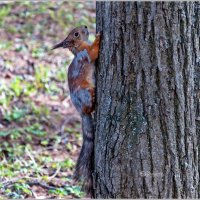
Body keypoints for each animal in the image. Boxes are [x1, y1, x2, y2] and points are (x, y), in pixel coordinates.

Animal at [52, 25, 101, 195]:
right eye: (76, 34)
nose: (85, 26)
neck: (77, 48)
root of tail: (81, 112)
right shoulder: (86, 53)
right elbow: (94, 51)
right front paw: (98, 37)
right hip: (85, 92)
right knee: (90, 104)